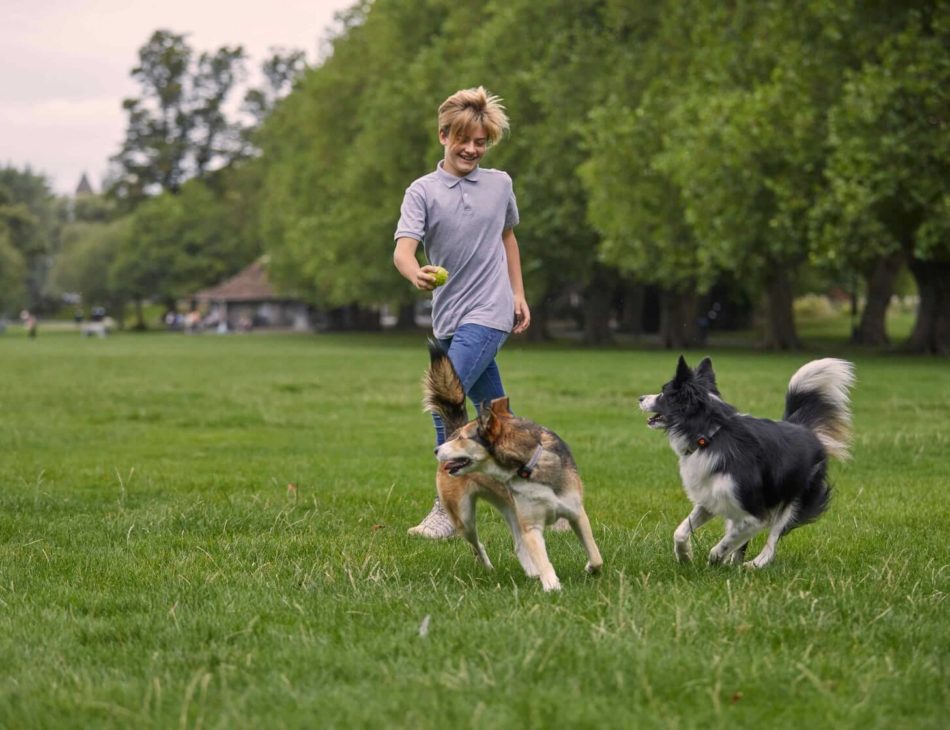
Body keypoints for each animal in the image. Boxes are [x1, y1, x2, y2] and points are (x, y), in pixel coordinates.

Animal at [424, 338, 604, 588]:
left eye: (462, 438)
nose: (437, 450)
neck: (528, 465)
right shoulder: (531, 527)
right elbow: (543, 559)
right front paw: (552, 586)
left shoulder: (577, 513)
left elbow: (596, 556)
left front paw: (589, 568)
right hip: (464, 517)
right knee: (476, 544)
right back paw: (490, 567)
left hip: (509, 508)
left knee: (518, 545)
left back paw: (531, 572)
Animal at [640, 356, 856, 564]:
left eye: (663, 393)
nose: (640, 398)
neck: (710, 436)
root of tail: (804, 428)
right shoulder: (711, 499)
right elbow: (680, 532)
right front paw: (685, 557)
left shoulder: (755, 514)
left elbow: (724, 545)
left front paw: (715, 561)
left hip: (794, 500)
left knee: (771, 543)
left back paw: (754, 565)